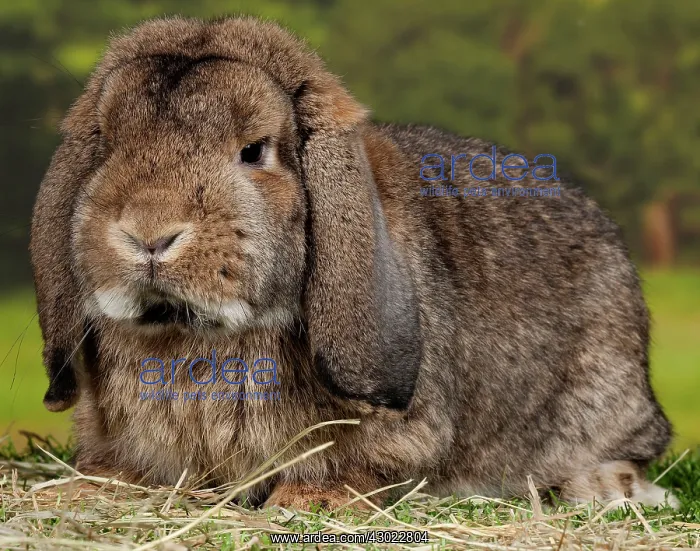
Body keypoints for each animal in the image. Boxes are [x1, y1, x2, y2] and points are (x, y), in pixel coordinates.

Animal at [29, 15, 677, 510]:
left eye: (253, 152)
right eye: (106, 146)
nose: (148, 233)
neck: (190, 335)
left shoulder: (402, 434)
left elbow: (364, 465)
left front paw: (312, 502)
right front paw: (91, 489)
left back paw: (603, 487)